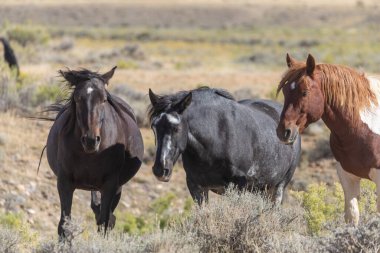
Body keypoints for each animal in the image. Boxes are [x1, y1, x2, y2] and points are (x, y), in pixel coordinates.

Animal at [44, 66, 144, 237]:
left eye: (103, 99)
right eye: (78, 98)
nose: (91, 140)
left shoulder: (110, 185)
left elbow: (104, 223)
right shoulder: (64, 182)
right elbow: (64, 226)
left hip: (117, 187)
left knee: (107, 218)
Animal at [148, 87, 300, 206]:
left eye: (176, 128)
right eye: (154, 127)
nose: (160, 170)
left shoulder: (237, 187)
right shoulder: (196, 187)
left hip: (278, 187)